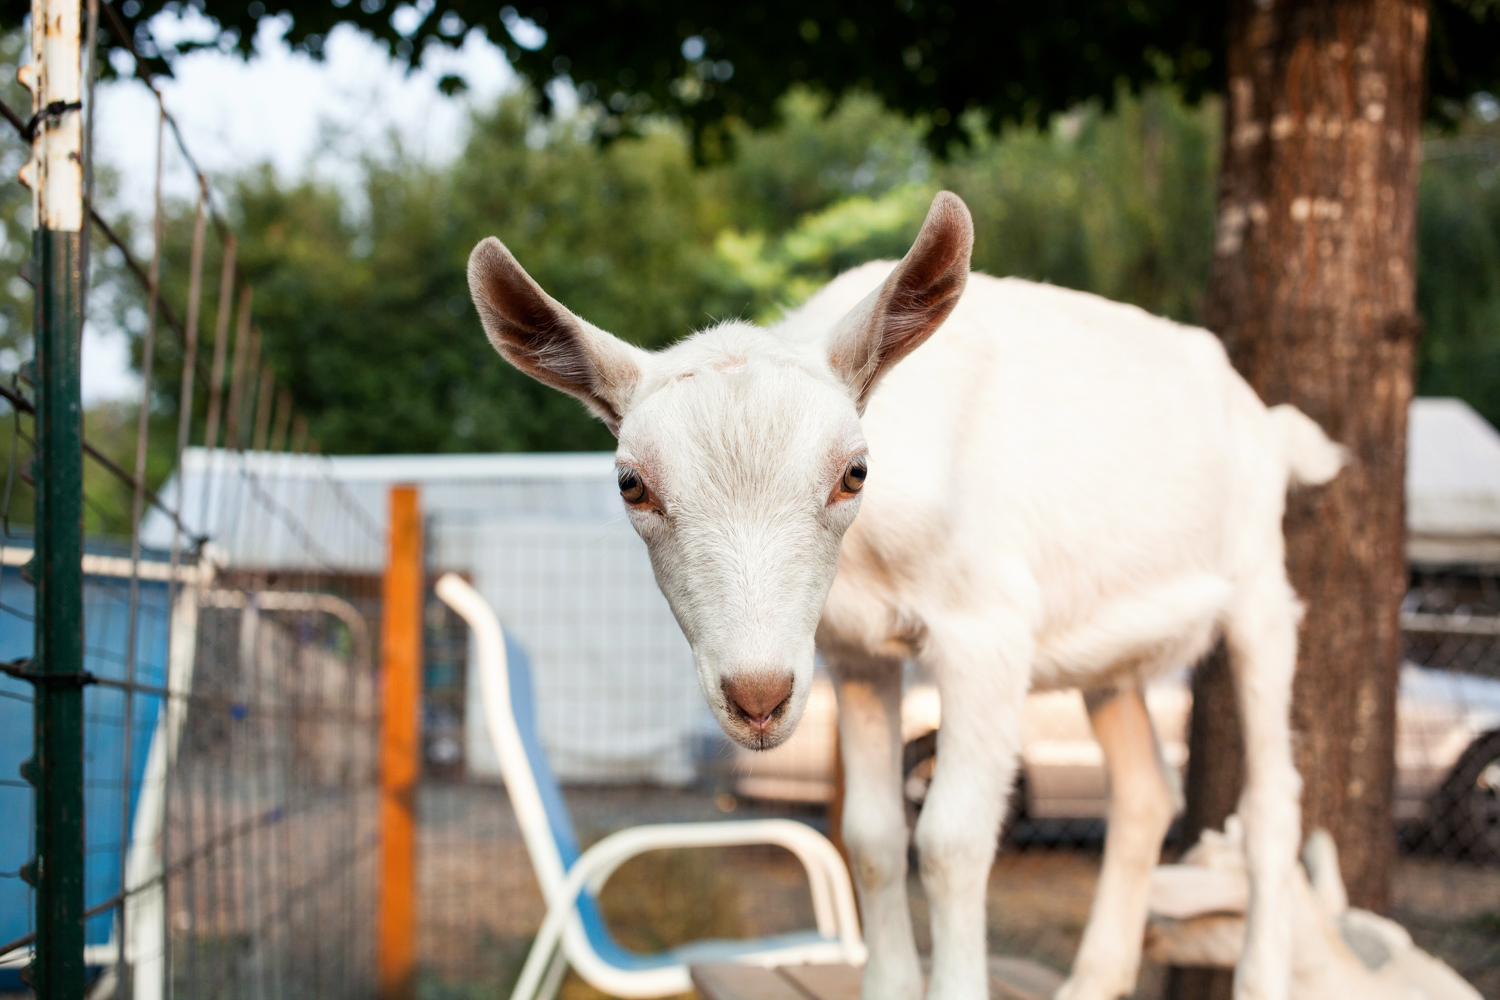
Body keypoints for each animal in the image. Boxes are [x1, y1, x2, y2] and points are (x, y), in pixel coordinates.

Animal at [466, 191, 1345, 1000]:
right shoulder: (856, 655)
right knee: (1142, 795)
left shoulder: (987, 635)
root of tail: (1267, 420)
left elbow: (952, 839)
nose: (757, 697)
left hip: (1261, 594)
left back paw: (1261, 976)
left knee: (1273, 800)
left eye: (854, 471)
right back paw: (1091, 981)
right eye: (631, 485)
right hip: (1110, 653)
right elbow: (872, 837)